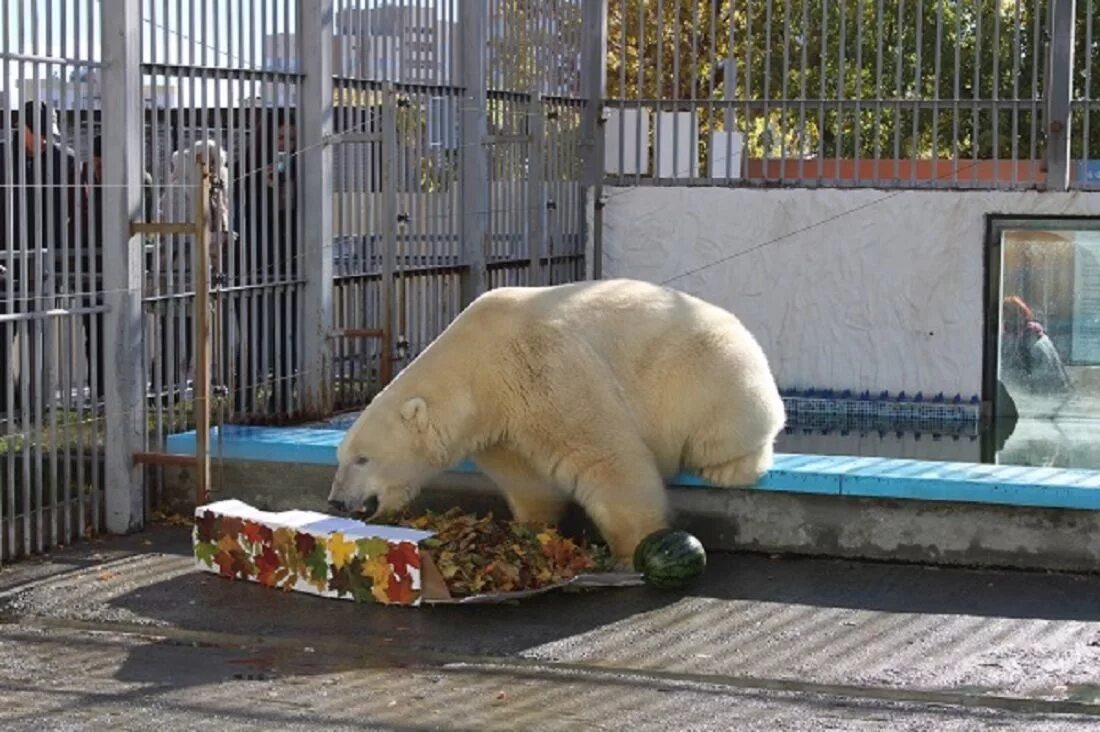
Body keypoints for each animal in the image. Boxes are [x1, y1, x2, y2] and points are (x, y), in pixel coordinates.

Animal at [321, 277, 787, 561]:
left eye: (363, 459)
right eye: (341, 457)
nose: (336, 501)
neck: (478, 365)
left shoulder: (546, 369)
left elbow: (606, 458)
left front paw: (633, 547)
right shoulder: (500, 424)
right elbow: (527, 479)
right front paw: (530, 525)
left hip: (707, 373)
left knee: (727, 431)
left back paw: (729, 467)